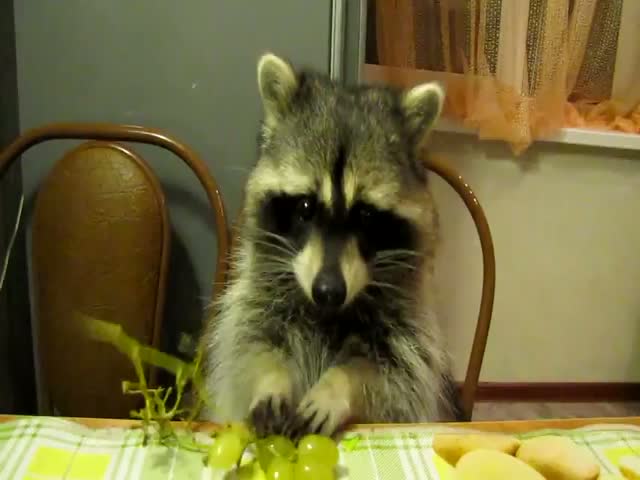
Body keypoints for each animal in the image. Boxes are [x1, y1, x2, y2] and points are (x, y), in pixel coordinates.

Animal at [200, 53, 460, 438]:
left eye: (365, 215)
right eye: (306, 206)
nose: (328, 291)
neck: (326, 312)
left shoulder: (407, 333)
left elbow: (391, 376)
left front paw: (337, 387)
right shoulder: (257, 300)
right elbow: (250, 345)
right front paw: (270, 378)